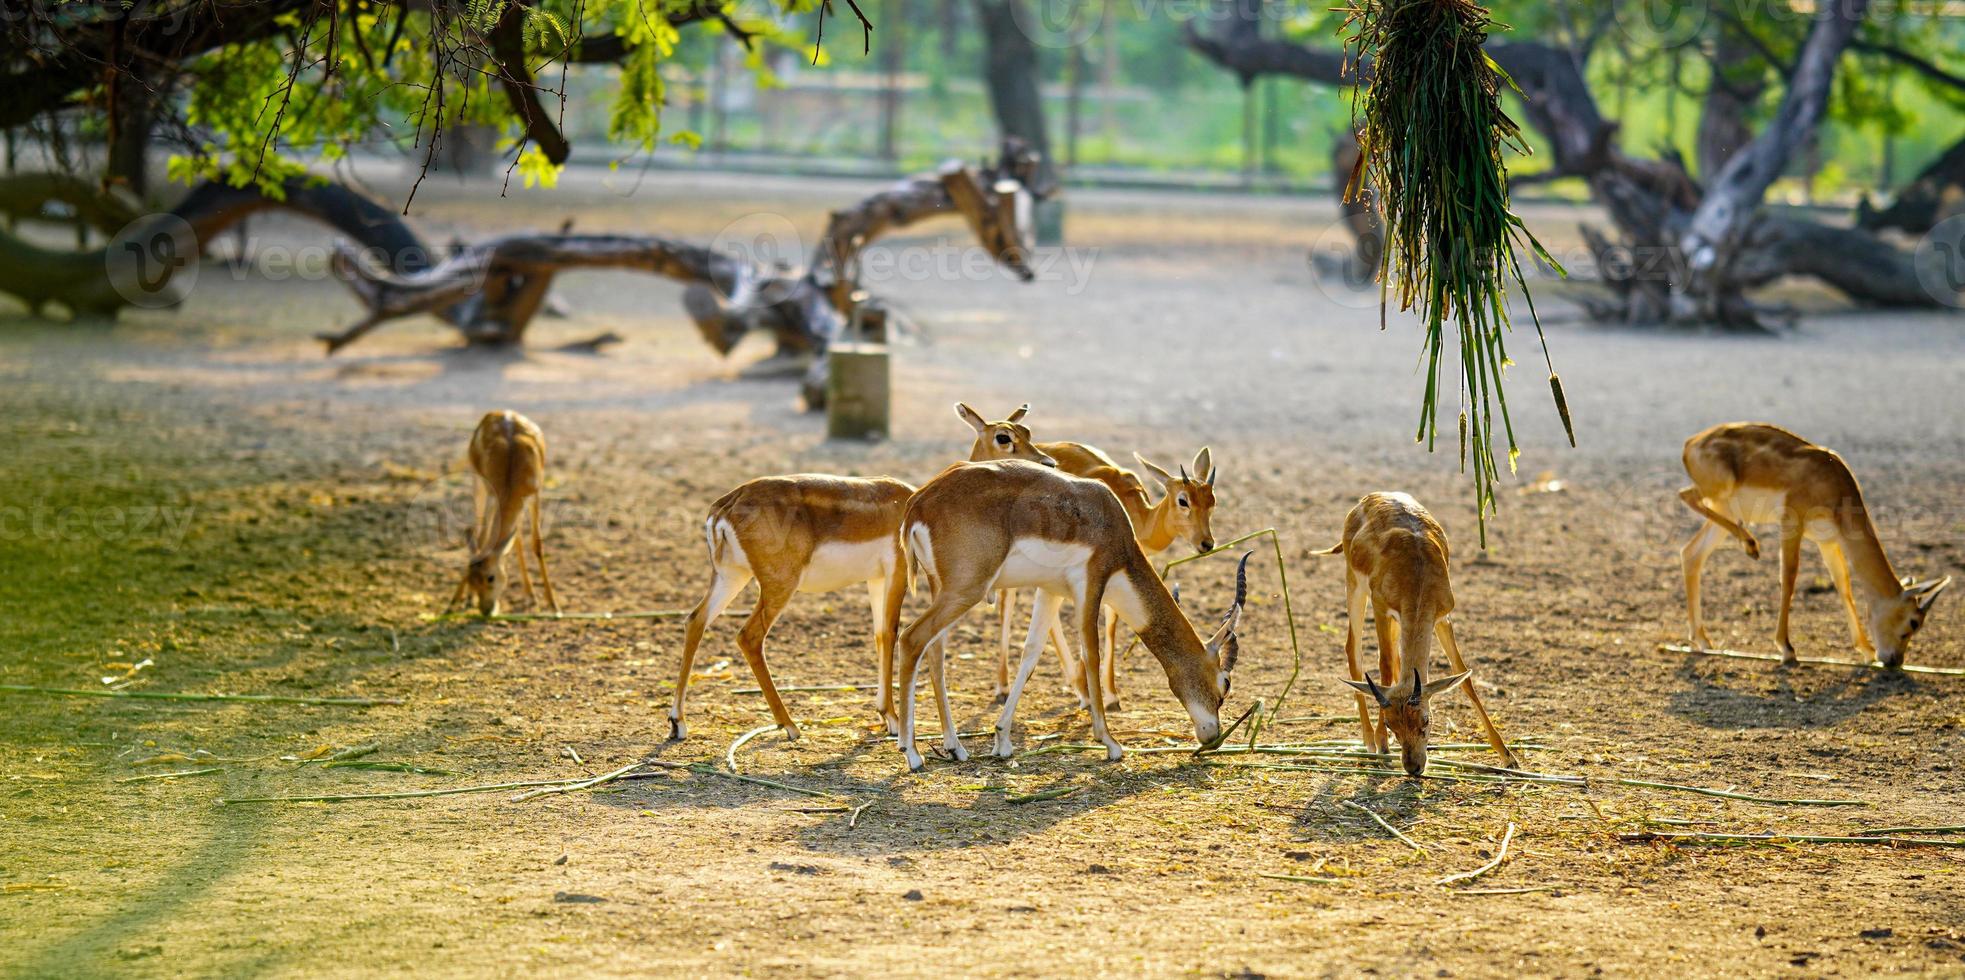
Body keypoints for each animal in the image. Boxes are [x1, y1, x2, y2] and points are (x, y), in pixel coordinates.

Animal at [448, 410, 558, 616]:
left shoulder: (534, 495)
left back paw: (531, 595)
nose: (486, 610)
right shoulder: (493, 496)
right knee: (483, 533)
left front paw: (553, 604)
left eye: (490, 577)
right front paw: (463, 599)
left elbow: (536, 544)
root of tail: (501, 412)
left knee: (516, 537)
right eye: (470, 578)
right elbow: (483, 538)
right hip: (477, 482)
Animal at [664, 402, 1061, 738]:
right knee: (749, 636)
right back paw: (789, 725)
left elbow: (879, 636)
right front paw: (894, 720)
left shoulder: (875, 579)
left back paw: (678, 722)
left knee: (695, 620)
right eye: (1003, 437)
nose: (1048, 463)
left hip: (732, 575)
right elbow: (891, 631)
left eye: (1027, 430)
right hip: (778, 583)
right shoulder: (898, 573)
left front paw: (885, 715)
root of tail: (726, 504)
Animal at [896, 459, 1241, 773]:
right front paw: (1110, 743)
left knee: (934, 651)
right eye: (1225, 683)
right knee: (911, 638)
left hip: (941, 588)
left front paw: (1002, 739)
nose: (1213, 736)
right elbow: (1091, 654)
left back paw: (954, 747)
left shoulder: (1049, 591)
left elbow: (1031, 653)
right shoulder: (1090, 585)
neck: (1114, 527)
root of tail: (918, 502)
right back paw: (912, 754)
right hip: (966, 590)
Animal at [1320, 494, 1516, 777]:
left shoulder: (1441, 617)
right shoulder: (1381, 608)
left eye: (1425, 720)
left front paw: (1508, 756)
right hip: (1355, 589)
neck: (1417, 572)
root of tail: (1370, 497)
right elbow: (1384, 666)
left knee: (1393, 659)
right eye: (1391, 725)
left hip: (1397, 620)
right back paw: (1369, 742)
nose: (1413, 767)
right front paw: (1383, 744)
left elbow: (1463, 674)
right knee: (1353, 649)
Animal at [1674, 420, 1949, 667]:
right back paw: (1750, 545)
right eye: (1913, 622)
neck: (1832, 482)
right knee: (1684, 496)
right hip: (1720, 494)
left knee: (1691, 553)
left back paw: (1702, 640)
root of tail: (1690, 444)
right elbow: (1789, 578)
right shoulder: (1791, 523)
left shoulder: (1828, 542)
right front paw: (1787, 649)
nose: (1894, 661)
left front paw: (1866, 650)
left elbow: (1843, 585)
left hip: (1727, 509)